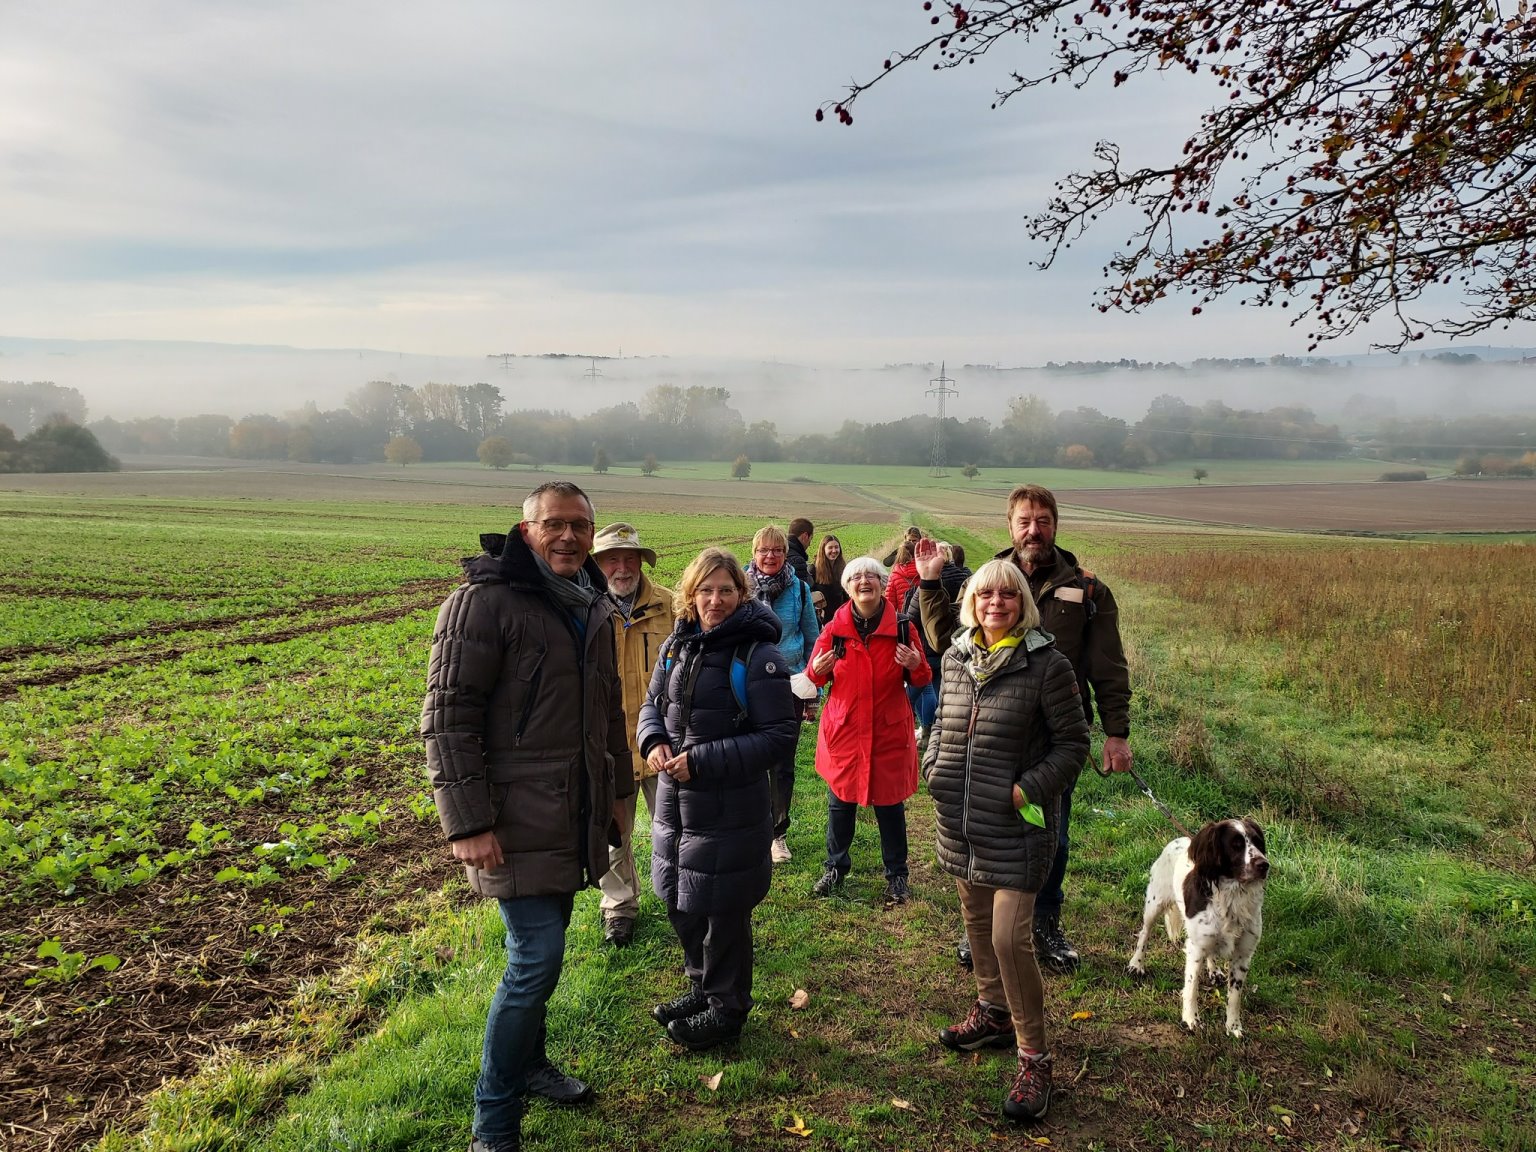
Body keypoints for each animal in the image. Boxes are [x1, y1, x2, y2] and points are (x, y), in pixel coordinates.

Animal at [1130, 817, 1271, 1044]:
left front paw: (1233, 1027)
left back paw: (1214, 971)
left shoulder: (1243, 954)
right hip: (1155, 903)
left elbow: (1235, 996)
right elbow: (1192, 987)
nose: (1264, 864)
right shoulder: (1195, 948)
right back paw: (1136, 964)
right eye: (1236, 845)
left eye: (1258, 842)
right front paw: (1191, 1020)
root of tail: (1179, 839)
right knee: (1144, 933)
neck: (1233, 898)